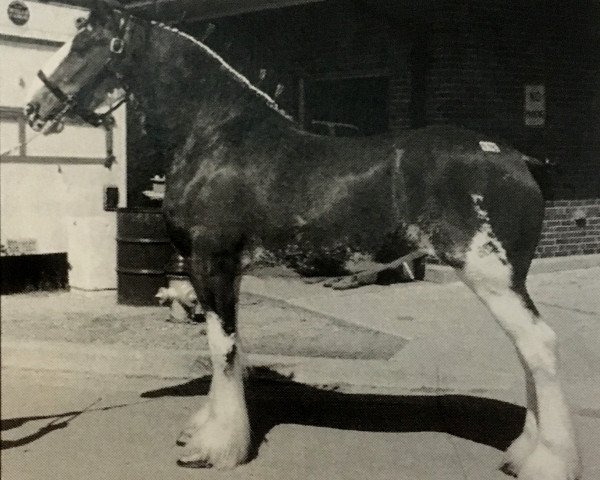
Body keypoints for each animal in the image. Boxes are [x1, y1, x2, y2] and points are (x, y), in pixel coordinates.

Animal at [24, 4, 580, 480]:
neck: (216, 136)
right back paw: (522, 453)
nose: (34, 108)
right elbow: (230, 349)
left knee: (540, 345)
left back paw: (547, 462)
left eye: (84, 43)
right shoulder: (226, 271)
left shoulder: (211, 263)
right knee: (527, 352)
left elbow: (222, 348)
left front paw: (216, 448)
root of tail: (517, 158)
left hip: (492, 276)